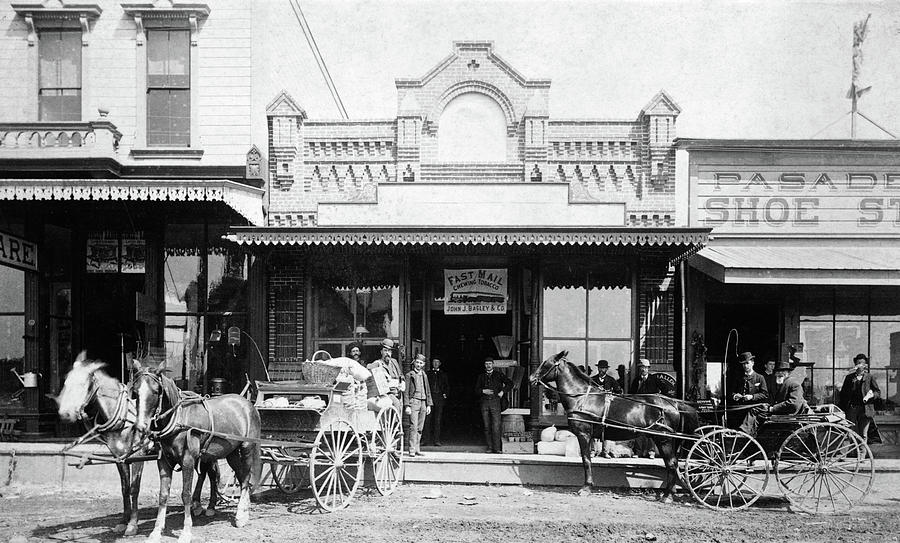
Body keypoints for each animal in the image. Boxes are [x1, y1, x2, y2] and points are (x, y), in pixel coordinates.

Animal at [132, 366, 262, 543]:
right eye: (135, 391)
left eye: (156, 391)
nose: (141, 427)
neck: (179, 418)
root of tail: (248, 404)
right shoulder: (164, 462)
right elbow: (163, 495)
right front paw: (156, 531)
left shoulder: (188, 460)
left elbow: (186, 494)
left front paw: (186, 532)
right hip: (232, 453)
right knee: (241, 478)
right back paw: (242, 511)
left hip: (247, 447)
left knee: (246, 478)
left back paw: (241, 516)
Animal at [532, 350, 700, 500]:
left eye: (546, 363)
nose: (531, 377)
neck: (581, 397)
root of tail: (673, 404)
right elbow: (589, 458)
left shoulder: (583, 434)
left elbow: (586, 460)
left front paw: (586, 488)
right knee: (672, 464)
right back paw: (670, 492)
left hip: (663, 439)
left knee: (671, 463)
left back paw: (667, 496)